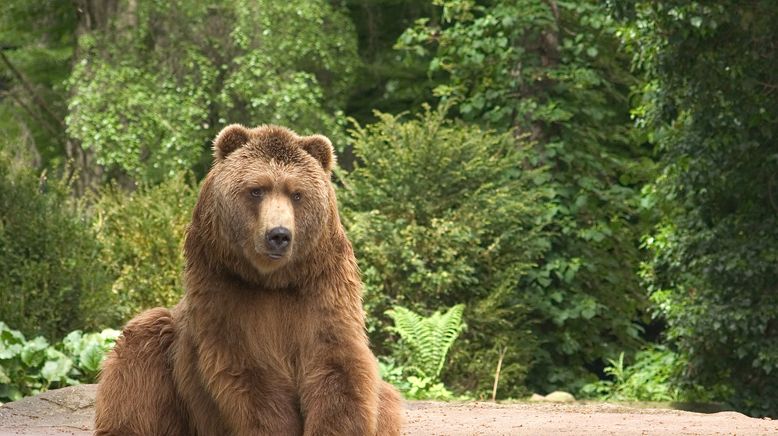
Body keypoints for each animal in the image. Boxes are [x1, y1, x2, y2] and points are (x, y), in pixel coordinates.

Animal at [92, 124, 400, 434]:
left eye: (297, 194)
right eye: (256, 190)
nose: (279, 235)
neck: (272, 281)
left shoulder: (322, 287)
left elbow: (337, 363)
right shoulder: (226, 291)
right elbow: (251, 376)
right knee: (139, 361)